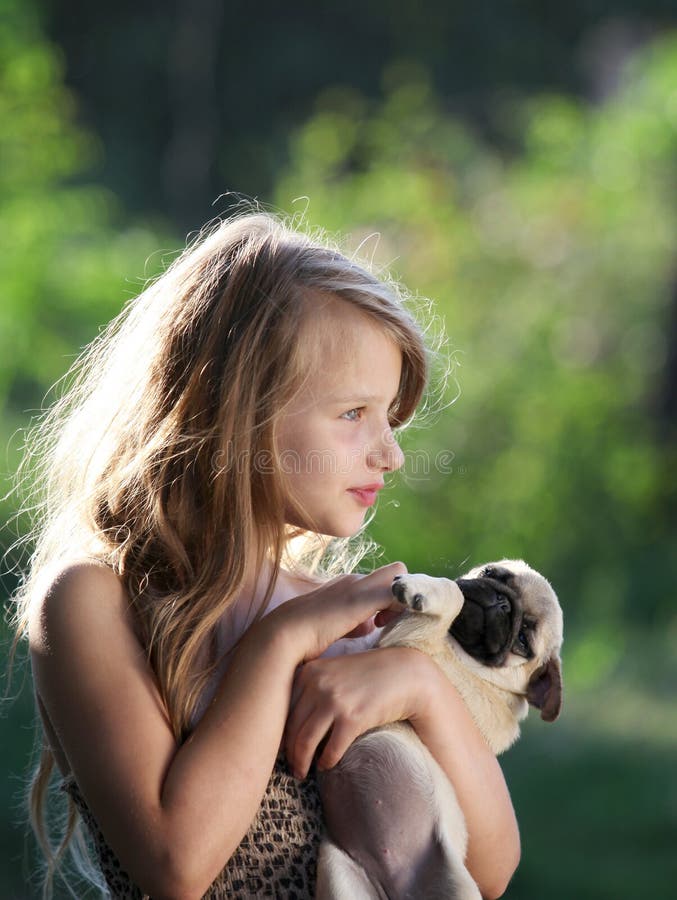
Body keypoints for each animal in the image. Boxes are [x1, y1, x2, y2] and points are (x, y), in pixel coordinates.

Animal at [314, 560, 564, 896]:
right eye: (491, 573)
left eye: (523, 641)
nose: (502, 603)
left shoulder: (410, 642)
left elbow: (452, 596)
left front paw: (423, 588)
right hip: (337, 871)